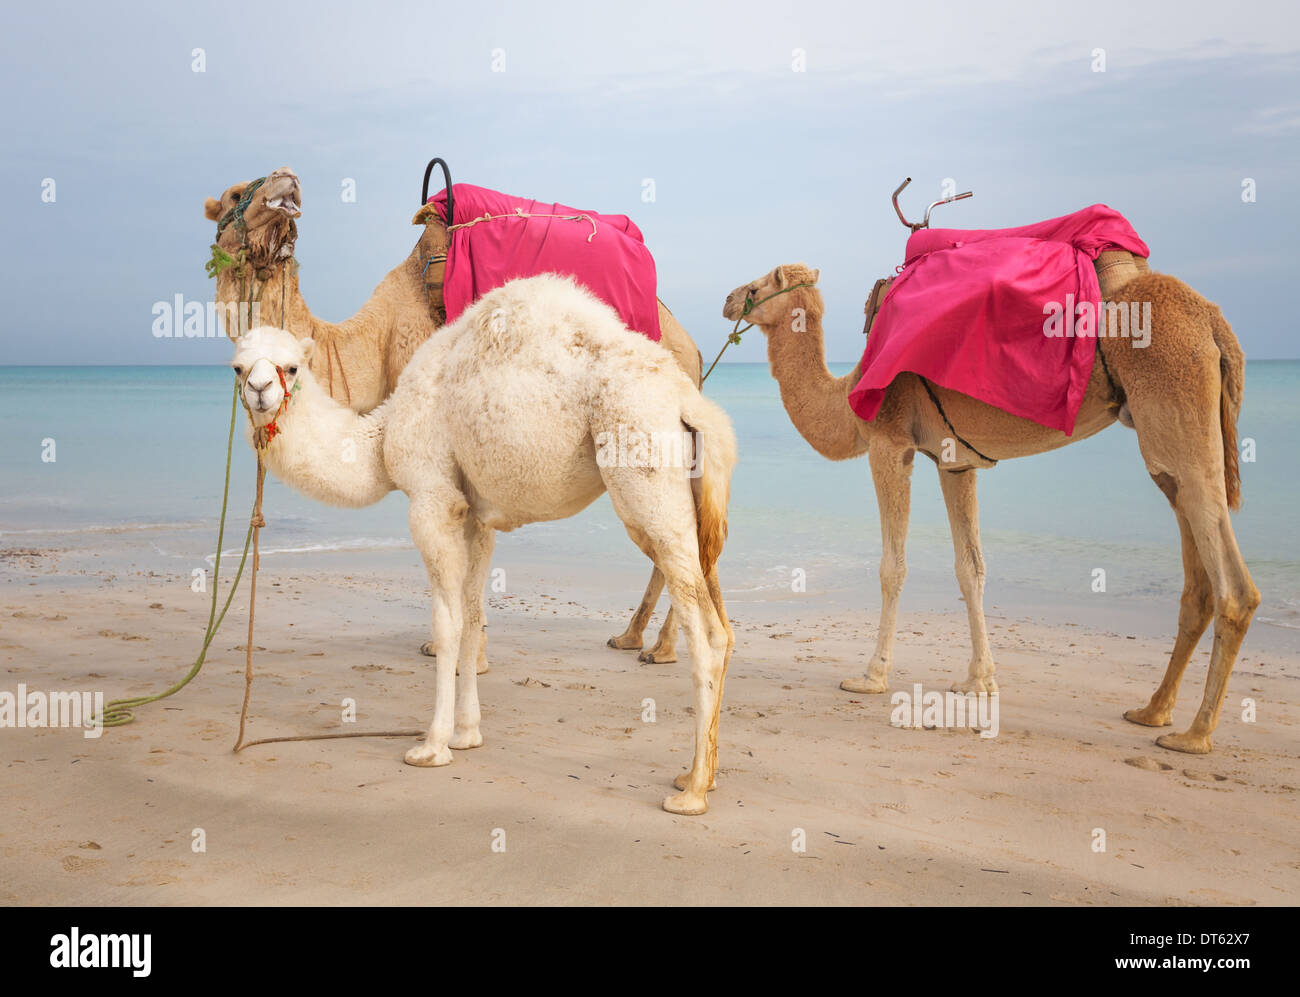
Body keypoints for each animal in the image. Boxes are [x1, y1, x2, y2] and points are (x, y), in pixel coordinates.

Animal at [200, 165, 702, 662]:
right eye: (235, 194)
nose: (287, 177)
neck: (377, 341)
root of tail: (692, 349)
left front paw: (460, 650)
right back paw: (635, 637)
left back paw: (660, 647)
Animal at [230, 270, 738, 811]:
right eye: (238, 367)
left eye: (291, 366)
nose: (261, 390)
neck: (381, 437)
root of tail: (689, 402)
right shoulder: (476, 516)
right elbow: (473, 617)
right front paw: (468, 734)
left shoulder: (432, 501)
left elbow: (447, 623)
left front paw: (431, 747)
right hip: (692, 500)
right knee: (721, 621)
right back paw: (696, 776)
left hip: (645, 482)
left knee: (706, 631)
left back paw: (692, 792)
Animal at [722, 261, 1258, 753]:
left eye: (757, 287)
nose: (727, 300)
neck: (848, 396)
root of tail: (1214, 320)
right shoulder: (955, 461)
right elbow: (970, 567)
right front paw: (978, 681)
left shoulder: (889, 443)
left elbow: (893, 567)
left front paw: (871, 676)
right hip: (1167, 436)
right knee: (1192, 556)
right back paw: (1152, 711)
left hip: (1175, 393)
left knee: (1232, 580)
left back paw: (1194, 734)